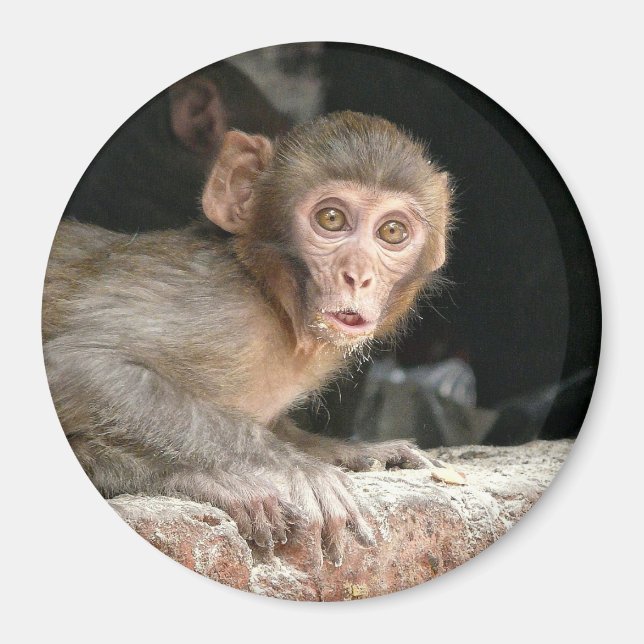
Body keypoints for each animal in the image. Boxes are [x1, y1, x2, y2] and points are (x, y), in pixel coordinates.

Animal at [43, 111, 453, 566]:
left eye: (392, 231)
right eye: (331, 219)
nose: (358, 275)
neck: (275, 304)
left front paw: (349, 451)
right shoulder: (219, 308)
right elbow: (76, 364)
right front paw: (295, 468)